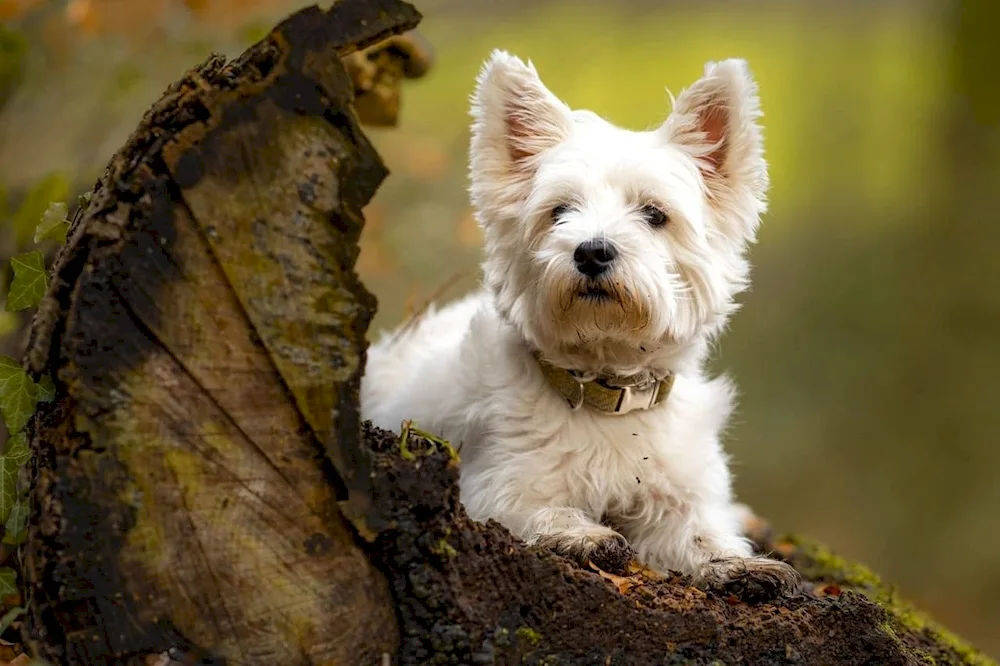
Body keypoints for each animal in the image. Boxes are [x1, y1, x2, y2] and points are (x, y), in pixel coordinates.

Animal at [364, 53, 800, 592]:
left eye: (654, 213)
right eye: (559, 212)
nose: (592, 251)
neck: (608, 392)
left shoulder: (678, 493)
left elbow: (700, 532)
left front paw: (738, 563)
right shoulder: (498, 483)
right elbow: (540, 509)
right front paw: (585, 535)